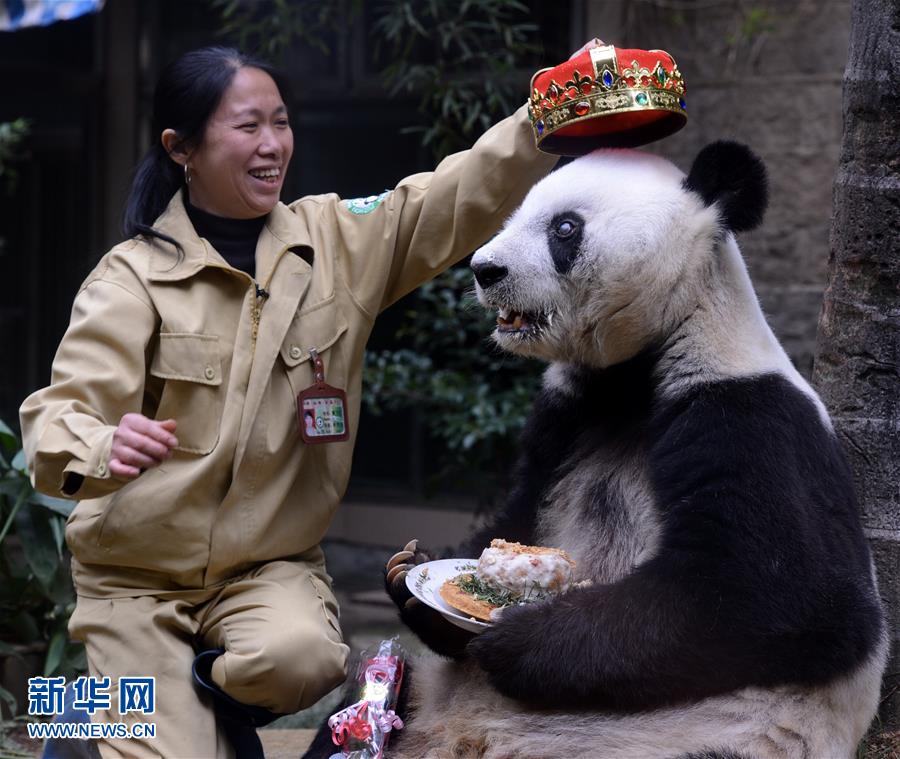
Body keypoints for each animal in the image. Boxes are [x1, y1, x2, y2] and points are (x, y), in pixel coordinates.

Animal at [304, 142, 888, 759]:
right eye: (513, 213)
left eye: (564, 228)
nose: (485, 270)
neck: (639, 367)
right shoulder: (564, 412)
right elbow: (519, 513)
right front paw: (413, 577)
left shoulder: (748, 417)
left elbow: (792, 595)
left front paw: (522, 638)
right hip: (420, 702)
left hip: (711, 737)